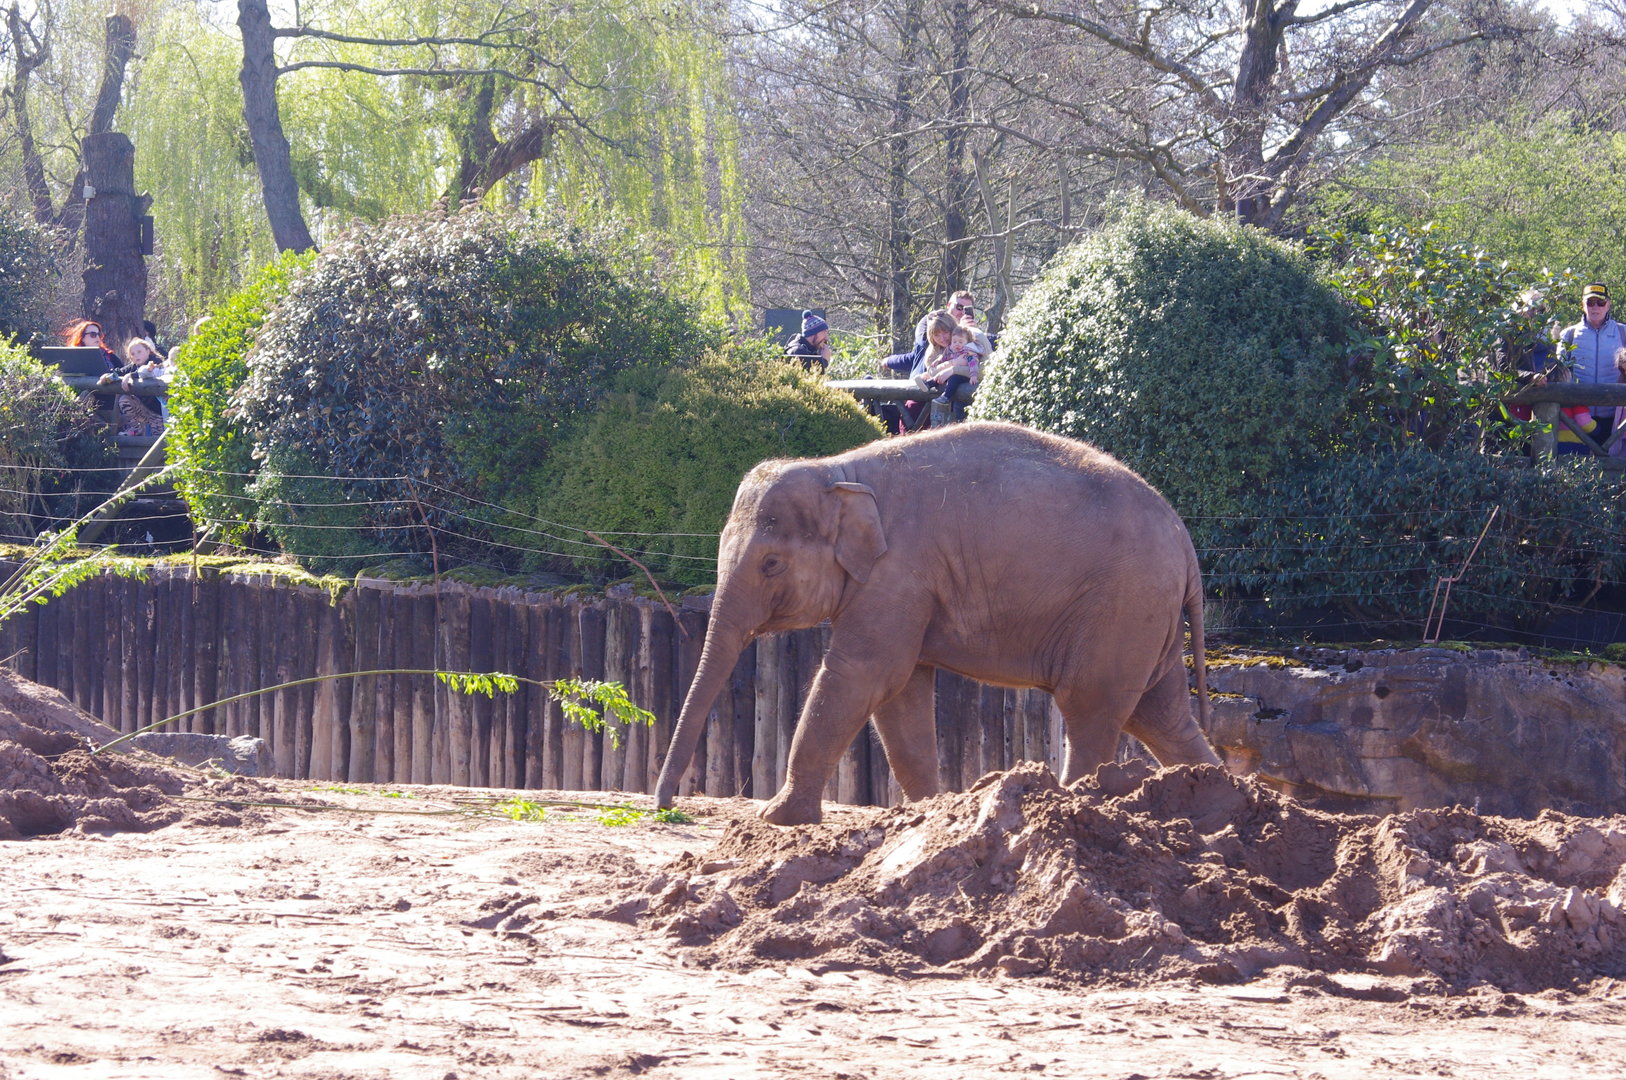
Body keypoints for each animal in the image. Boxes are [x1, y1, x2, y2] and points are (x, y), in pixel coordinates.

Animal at [653, 420, 1220, 825]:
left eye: (771, 564)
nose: (667, 805)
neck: (838, 472)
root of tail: (1185, 543)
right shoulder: (905, 589)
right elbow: (900, 694)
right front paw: (930, 813)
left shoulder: (899, 574)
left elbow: (861, 675)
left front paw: (777, 819)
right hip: (1146, 620)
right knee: (1160, 715)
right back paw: (1216, 800)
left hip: (1121, 609)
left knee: (1092, 710)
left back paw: (1072, 802)